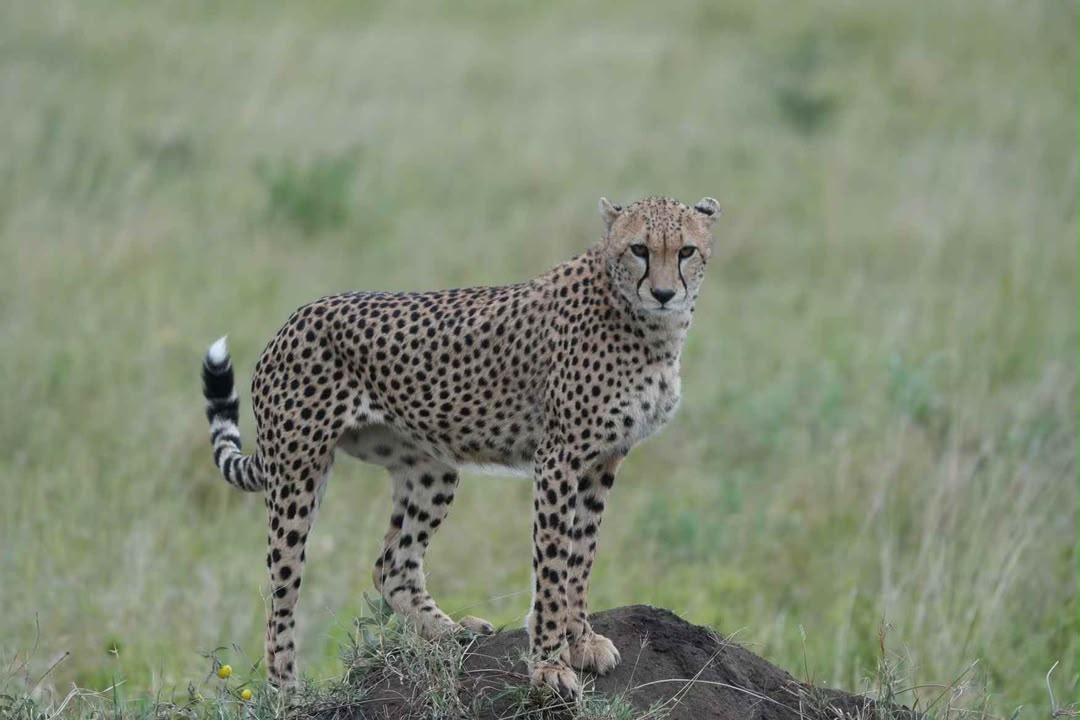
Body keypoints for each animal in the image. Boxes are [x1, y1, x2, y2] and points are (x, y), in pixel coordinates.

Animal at [200, 195, 722, 700]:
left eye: (686, 251)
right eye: (639, 249)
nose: (663, 293)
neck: (649, 328)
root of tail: (294, 318)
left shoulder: (603, 460)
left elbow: (582, 556)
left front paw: (582, 640)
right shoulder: (559, 459)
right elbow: (554, 565)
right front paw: (549, 665)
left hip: (431, 467)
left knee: (392, 565)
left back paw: (451, 633)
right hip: (298, 472)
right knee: (281, 590)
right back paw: (285, 687)